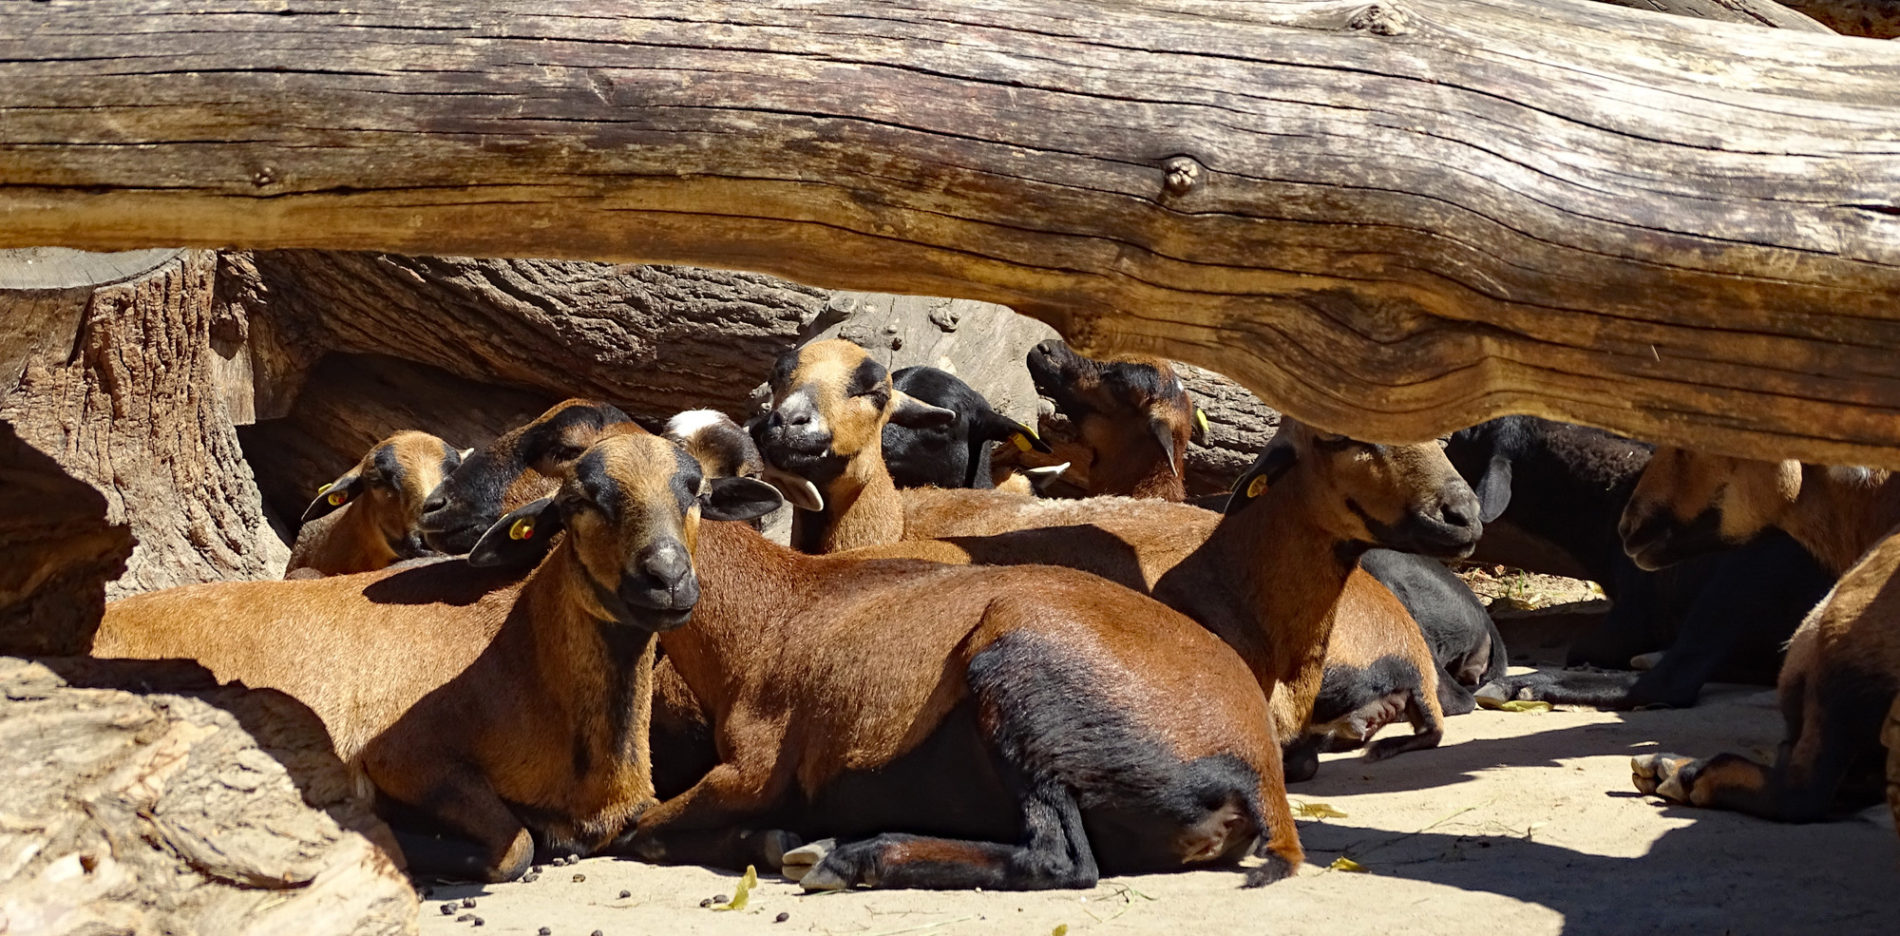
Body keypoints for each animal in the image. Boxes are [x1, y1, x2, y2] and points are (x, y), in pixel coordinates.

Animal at [469, 434, 1307, 888]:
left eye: (692, 489)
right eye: (583, 499)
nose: (667, 580)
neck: (776, 611)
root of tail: (1256, 765)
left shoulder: (750, 773)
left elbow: (637, 829)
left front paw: (781, 842)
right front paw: (776, 842)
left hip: (1016, 677)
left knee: (1061, 859)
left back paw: (853, 856)